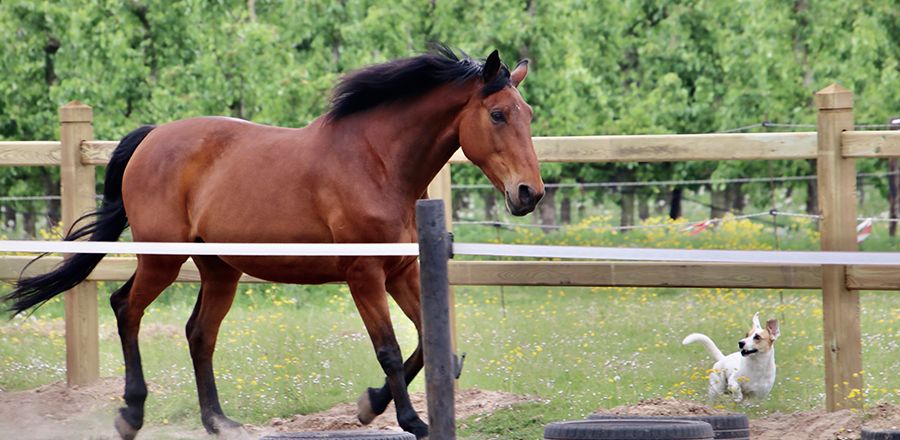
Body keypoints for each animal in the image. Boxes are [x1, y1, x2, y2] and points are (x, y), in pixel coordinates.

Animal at [5, 44, 540, 436]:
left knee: (199, 333)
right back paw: (131, 415)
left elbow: (434, 345)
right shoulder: (364, 274)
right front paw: (408, 420)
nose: (528, 193)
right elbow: (389, 348)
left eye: (528, 114)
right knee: (125, 309)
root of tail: (152, 138)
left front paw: (369, 405)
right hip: (162, 260)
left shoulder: (403, 272)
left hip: (220, 269)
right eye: (498, 115)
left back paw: (218, 421)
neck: (378, 164)